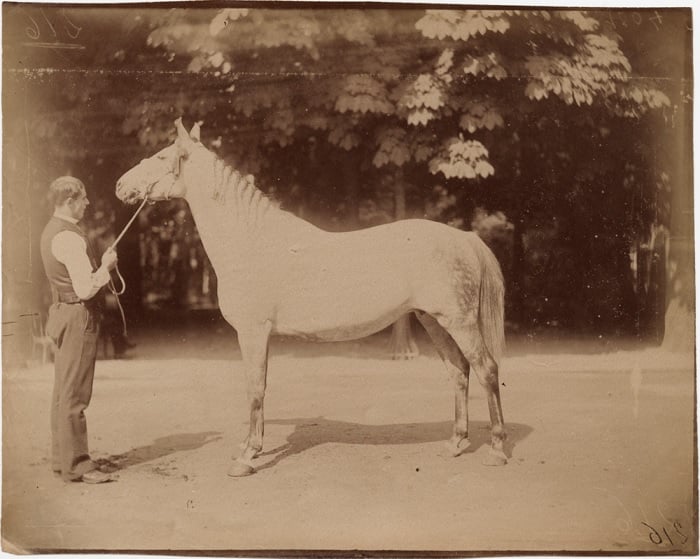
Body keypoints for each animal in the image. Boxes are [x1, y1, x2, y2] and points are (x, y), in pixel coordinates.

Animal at [116, 118, 508, 477]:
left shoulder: (253, 332)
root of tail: (465, 238)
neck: (251, 241)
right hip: (434, 320)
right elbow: (258, 388)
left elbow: (255, 388)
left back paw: (497, 450)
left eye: (162, 156)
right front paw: (247, 449)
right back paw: (455, 444)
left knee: (486, 369)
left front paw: (247, 458)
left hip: (458, 322)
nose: (120, 185)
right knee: (459, 371)